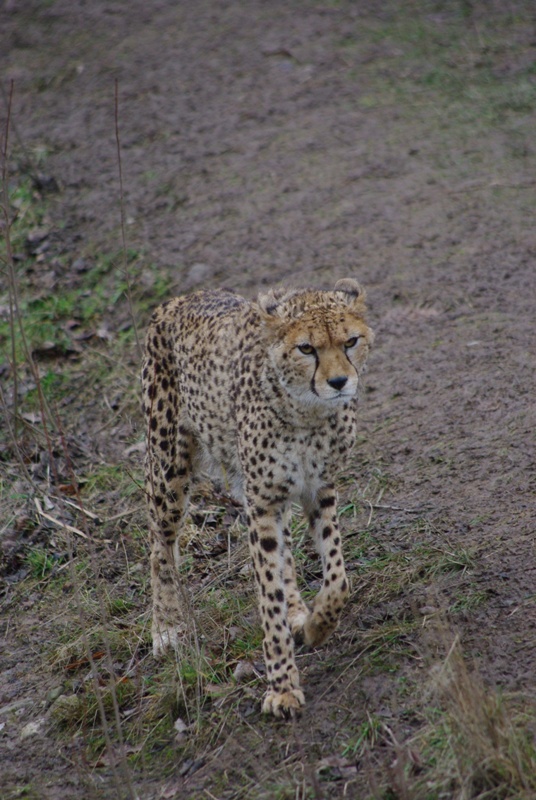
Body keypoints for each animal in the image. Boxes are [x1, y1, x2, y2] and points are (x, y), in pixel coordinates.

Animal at [141, 278, 374, 717]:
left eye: (351, 341)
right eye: (307, 348)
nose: (339, 382)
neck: (306, 411)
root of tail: (180, 299)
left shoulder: (319, 489)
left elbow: (337, 577)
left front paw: (318, 624)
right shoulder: (261, 502)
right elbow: (268, 596)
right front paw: (282, 686)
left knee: (285, 553)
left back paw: (299, 611)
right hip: (169, 467)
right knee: (159, 544)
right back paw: (166, 626)